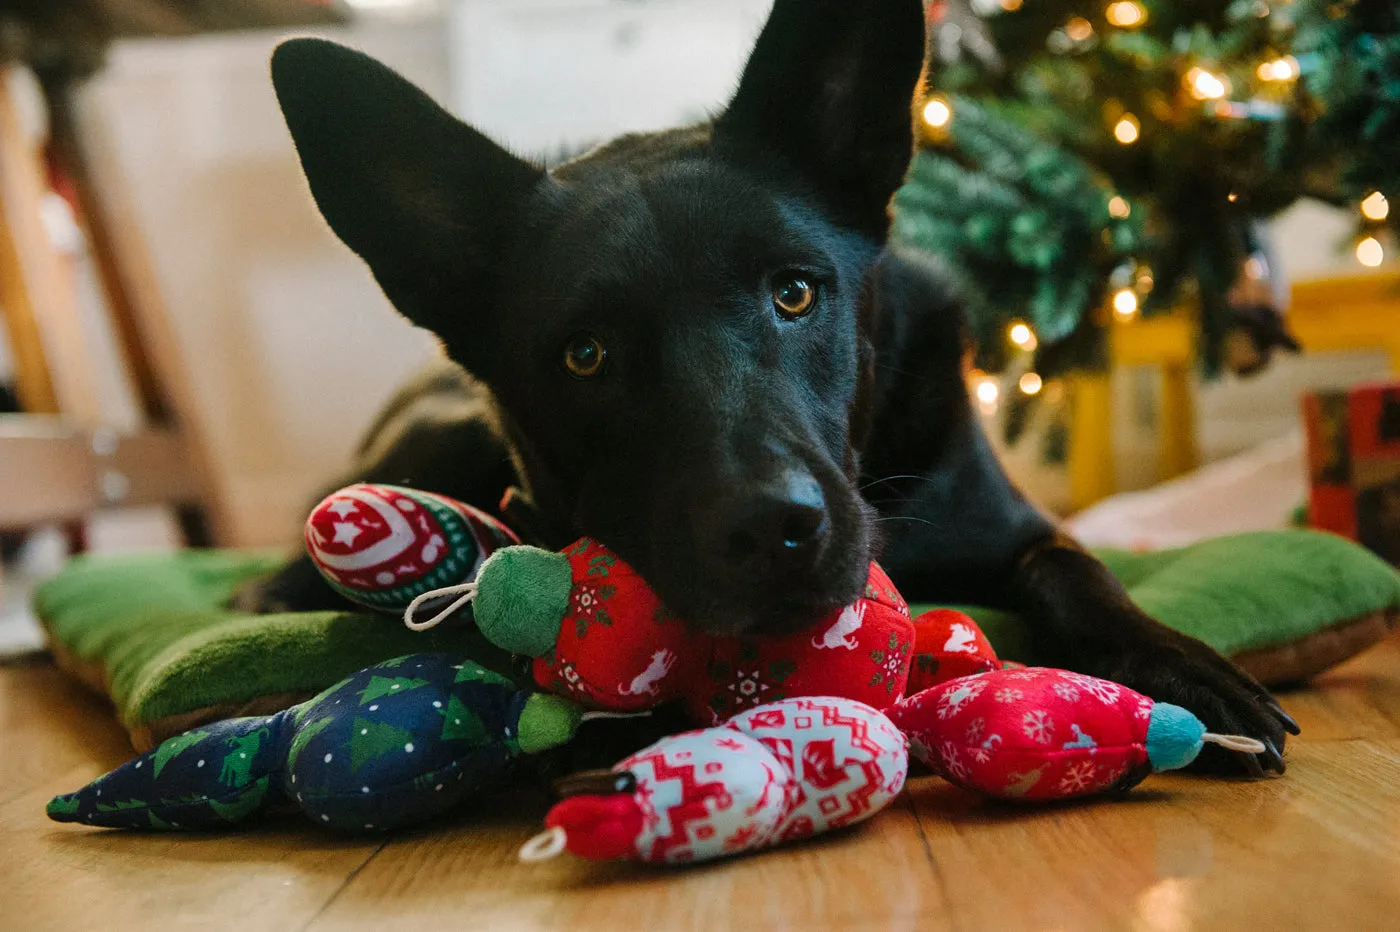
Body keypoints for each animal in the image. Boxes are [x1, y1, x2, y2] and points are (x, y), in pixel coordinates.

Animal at [238, 0, 1288, 766]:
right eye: (585, 355)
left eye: (794, 293)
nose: (773, 530)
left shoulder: (1015, 528)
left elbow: (1079, 569)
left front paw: (1183, 668)